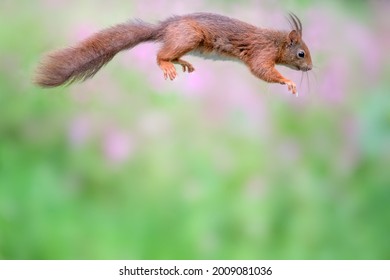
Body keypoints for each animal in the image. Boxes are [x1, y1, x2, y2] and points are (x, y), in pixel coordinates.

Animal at [35, 12, 312, 95]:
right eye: (301, 54)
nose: (310, 68)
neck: (276, 43)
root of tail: (165, 28)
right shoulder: (261, 53)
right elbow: (262, 70)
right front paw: (288, 81)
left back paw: (182, 62)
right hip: (189, 37)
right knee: (160, 55)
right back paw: (167, 64)